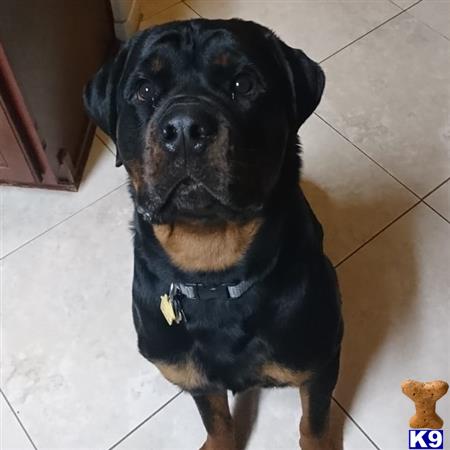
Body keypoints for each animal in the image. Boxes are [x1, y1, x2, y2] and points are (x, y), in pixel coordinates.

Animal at [84, 18, 342, 450]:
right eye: (144, 90)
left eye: (243, 84)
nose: (186, 128)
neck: (214, 272)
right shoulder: (191, 373)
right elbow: (216, 419)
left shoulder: (319, 360)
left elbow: (315, 423)